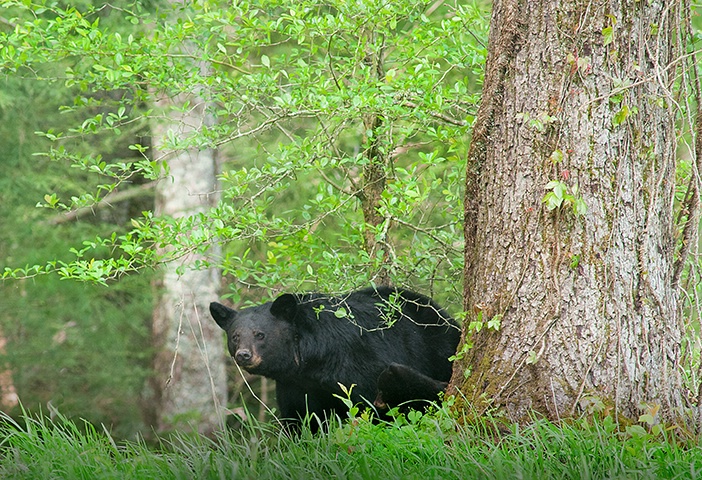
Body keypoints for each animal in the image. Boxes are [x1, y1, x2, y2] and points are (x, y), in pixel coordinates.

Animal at [209, 286, 462, 430]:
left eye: (260, 334)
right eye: (235, 336)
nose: (244, 354)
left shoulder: (360, 364)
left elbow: (370, 405)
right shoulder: (294, 385)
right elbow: (300, 417)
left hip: (437, 350)